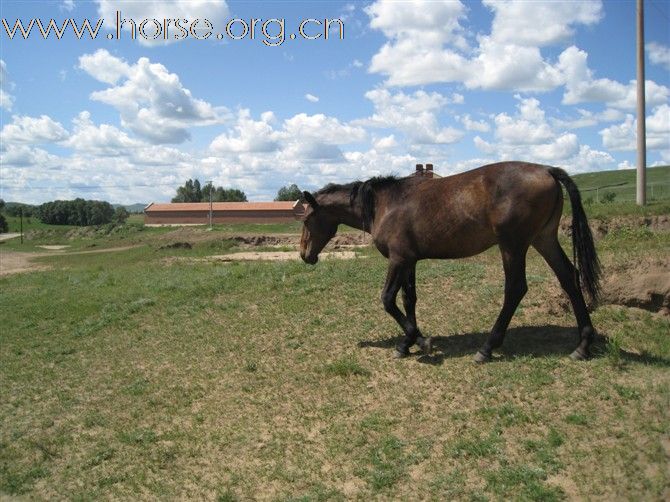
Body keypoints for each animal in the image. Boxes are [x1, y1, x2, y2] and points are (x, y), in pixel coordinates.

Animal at [300, 163, 604, 362]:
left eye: (306, 219)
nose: (304, 255)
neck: (385, 204)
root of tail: (547, 170)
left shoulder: (398, 260)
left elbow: (388, 299)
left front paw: (418, 340)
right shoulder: (409, 261)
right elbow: (409, 299)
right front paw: (409, 342)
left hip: (513, 246)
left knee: (516, 289)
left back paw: (487, 348)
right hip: (544, 239)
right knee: (569, 277)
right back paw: (582, 345)